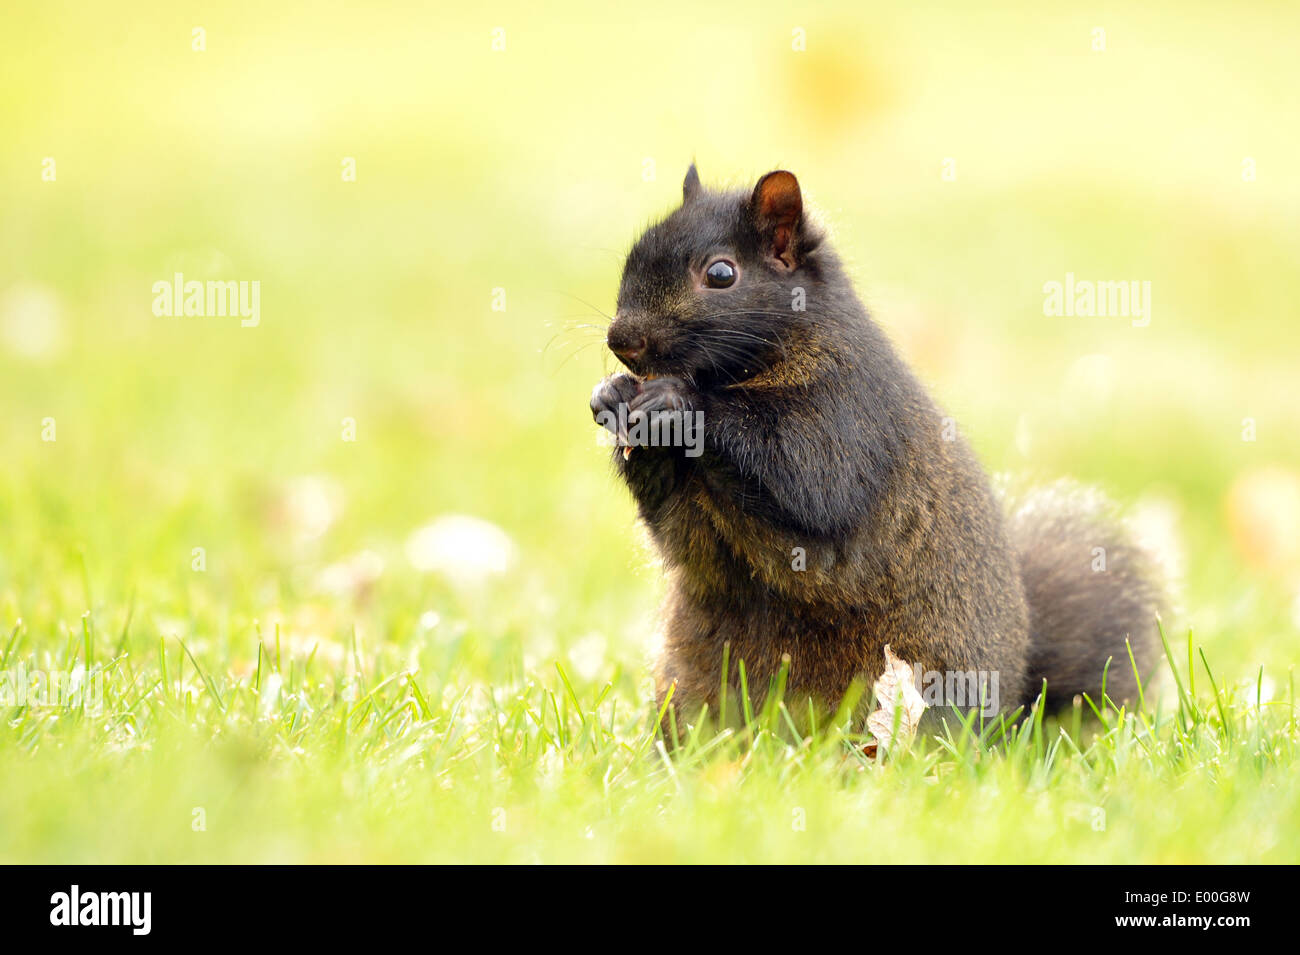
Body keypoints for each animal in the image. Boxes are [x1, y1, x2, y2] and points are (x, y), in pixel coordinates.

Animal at [590, 166, 1170, 722]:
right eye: (635, 252)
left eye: (721, 274)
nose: (622, 340)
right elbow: (681, 534)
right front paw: (612, 396)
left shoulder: (850, 413)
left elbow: (810, 478)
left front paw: (676, 401)